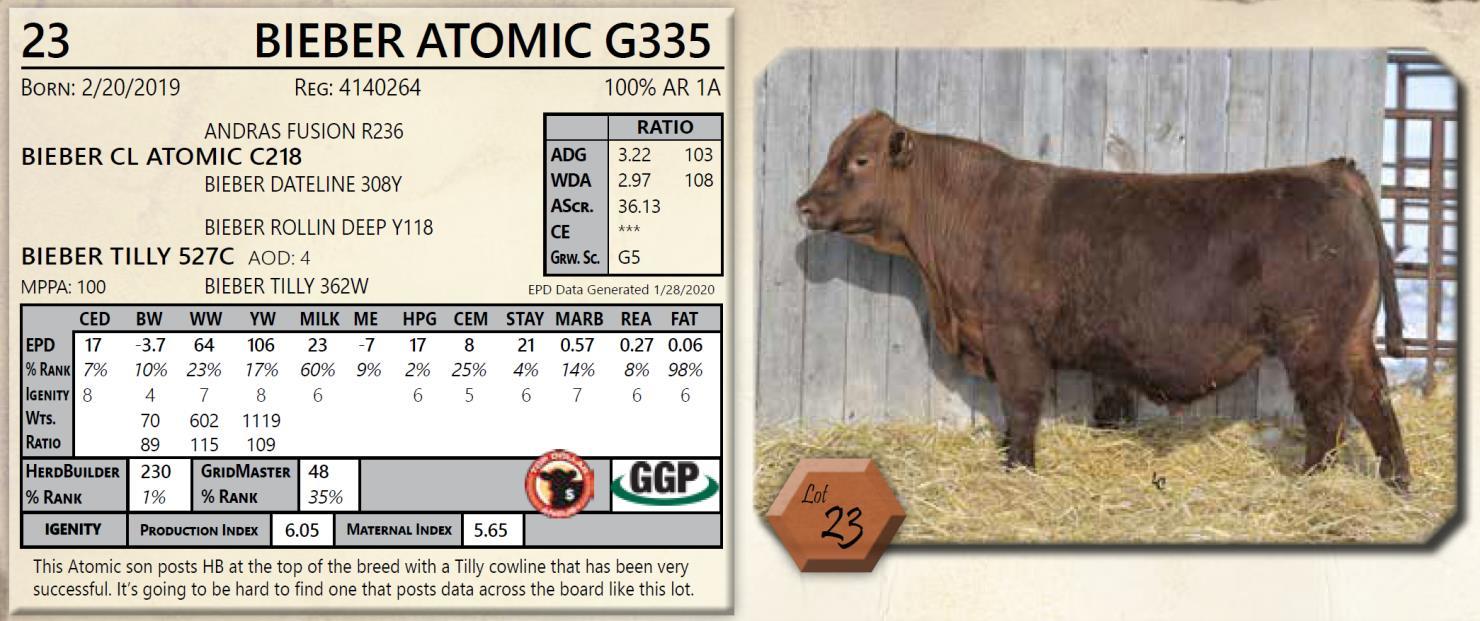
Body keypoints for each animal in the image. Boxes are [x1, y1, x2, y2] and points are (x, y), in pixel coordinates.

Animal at [795, 111, 1411, 490]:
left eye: (860, 161)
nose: (803, 205)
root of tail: (1329, 171)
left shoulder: (1013, 335)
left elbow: (1021, 406)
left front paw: (1018, 471)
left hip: (1312, 340)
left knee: (1329, 410)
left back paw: (1309, 483)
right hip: (1351, 336)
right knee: (1375, 401)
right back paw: (1397, 482)